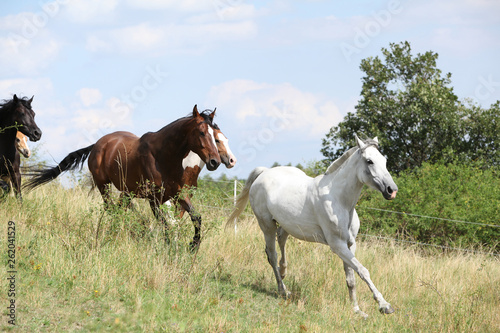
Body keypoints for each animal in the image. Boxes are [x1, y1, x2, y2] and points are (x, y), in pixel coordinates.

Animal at [23, 105, 221, 248]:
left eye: (217, 136)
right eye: (202, 132)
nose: (215, 161)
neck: (163, 156)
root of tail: (98, 144)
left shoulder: (178, 194)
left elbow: (196, 217)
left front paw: (193, 246)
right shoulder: (154, 199)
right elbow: (165, 223)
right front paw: (170, 246)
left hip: (126, 191)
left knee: (121, 208)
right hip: (104, 185)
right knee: (112, 208)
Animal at [228, 135, 398, 316]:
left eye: (384, 160)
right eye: (369, 161)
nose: (392, 190)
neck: (339, 201)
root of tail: (264, 172)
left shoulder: (350, 244)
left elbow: (351, 278)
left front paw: (357, 311)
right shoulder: (338, 245)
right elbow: (363, 271)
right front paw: (385, 306)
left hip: (287, 225)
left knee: (281, 240)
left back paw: (284, 271)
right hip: (266, 225)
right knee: (272, 255)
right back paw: (283, 290)